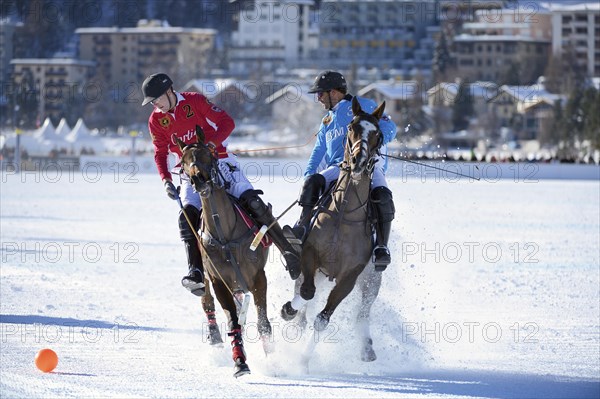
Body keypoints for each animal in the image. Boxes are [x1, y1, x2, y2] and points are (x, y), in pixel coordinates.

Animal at [177, 128, 270, 378]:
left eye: (208, 154)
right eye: (184, 161)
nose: (198, 179)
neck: (226, 236)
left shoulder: (259, 278)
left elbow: (263, 322)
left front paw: (273, 357)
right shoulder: (219, 281)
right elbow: (233, 322)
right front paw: (240, 362)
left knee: (254, 201)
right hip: (208, 280)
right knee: (207, 302)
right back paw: (214, 336)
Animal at [280, 97, 384, 362]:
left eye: (378, 134)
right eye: (352, 127)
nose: (358, 162)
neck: (344, 214)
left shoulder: (350, 277)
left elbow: (323, 319)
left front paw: (303, 362)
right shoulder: (310, 256)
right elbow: (306, 293)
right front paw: (288, 310)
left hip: (371, 282)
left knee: (363, 313)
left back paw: (367, 348)